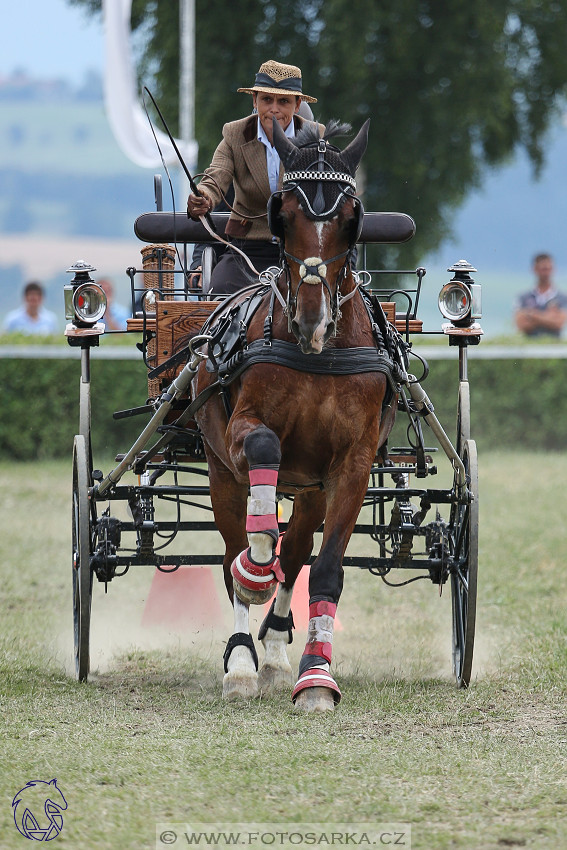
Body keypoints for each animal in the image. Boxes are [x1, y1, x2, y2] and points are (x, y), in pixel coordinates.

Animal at [193, 116, 398, 704]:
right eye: (281, 214)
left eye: (352, 220)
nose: (313, 319)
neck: (317, 355)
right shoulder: (244, 432)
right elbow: (262, 470)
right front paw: (255, 570)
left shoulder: (351, 465)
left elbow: (323, 570)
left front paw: (316, 677)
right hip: (220, 471)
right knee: (232, 552)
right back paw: (242, 659)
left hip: (309, 491)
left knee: (296, 553)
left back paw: (276, 650)